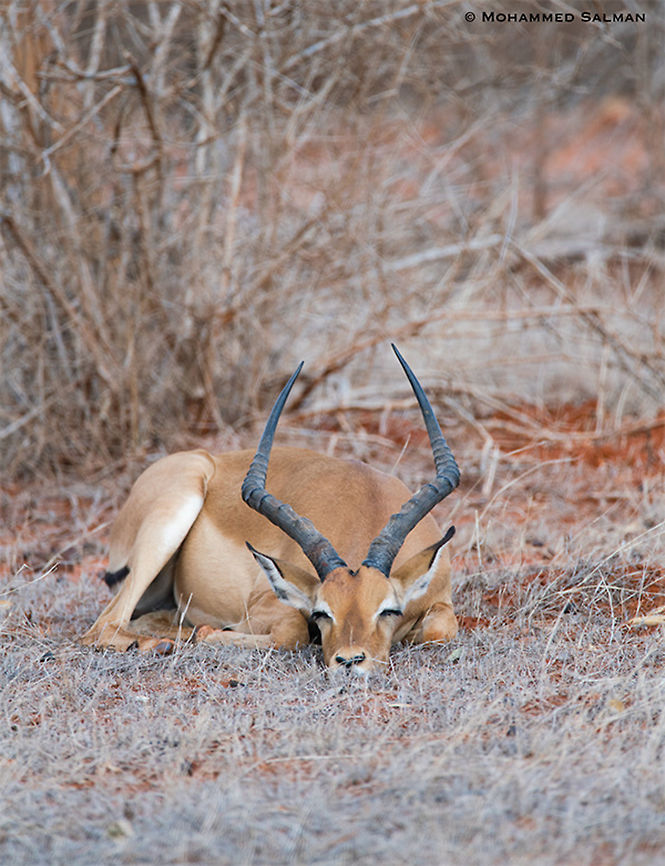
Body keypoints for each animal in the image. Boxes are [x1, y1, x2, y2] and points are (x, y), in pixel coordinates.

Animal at [82, 345, 460, 673]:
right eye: (322, 612)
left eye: (388, 609)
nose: (350, 660)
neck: (366, 503)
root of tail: (203, 459)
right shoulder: (269, 602)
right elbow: (291, 632)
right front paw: (210, 634)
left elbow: (440, 630)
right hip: (169, 523)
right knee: (102, 627)